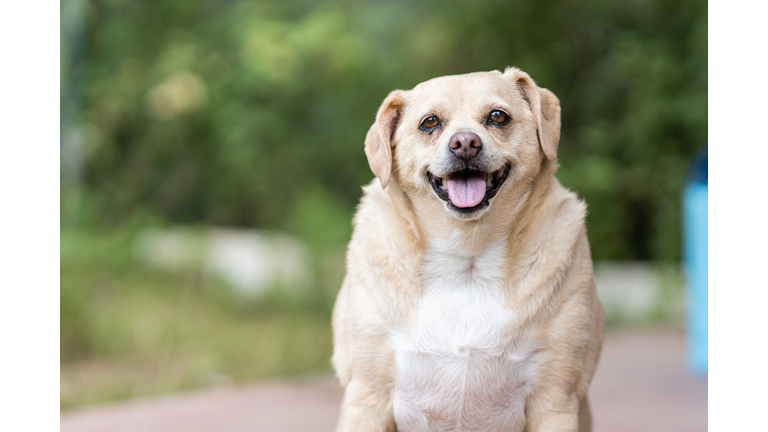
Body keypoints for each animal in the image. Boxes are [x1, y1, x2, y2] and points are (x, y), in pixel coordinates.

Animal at [332, 67, 604, 432]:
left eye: (498, 116)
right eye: (430, 122)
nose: (465, 143)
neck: (467, 258)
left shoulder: (555, 400)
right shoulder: (367, 398)